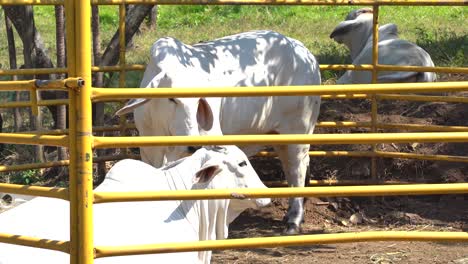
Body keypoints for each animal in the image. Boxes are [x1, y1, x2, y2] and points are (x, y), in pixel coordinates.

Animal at [116, 29, 322, 235]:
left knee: (297, 170)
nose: (192, 145)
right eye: (172, 98)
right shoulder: (149, 150)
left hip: (299, 130)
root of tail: (305, 54)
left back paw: (294, 220)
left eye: (199, 100)